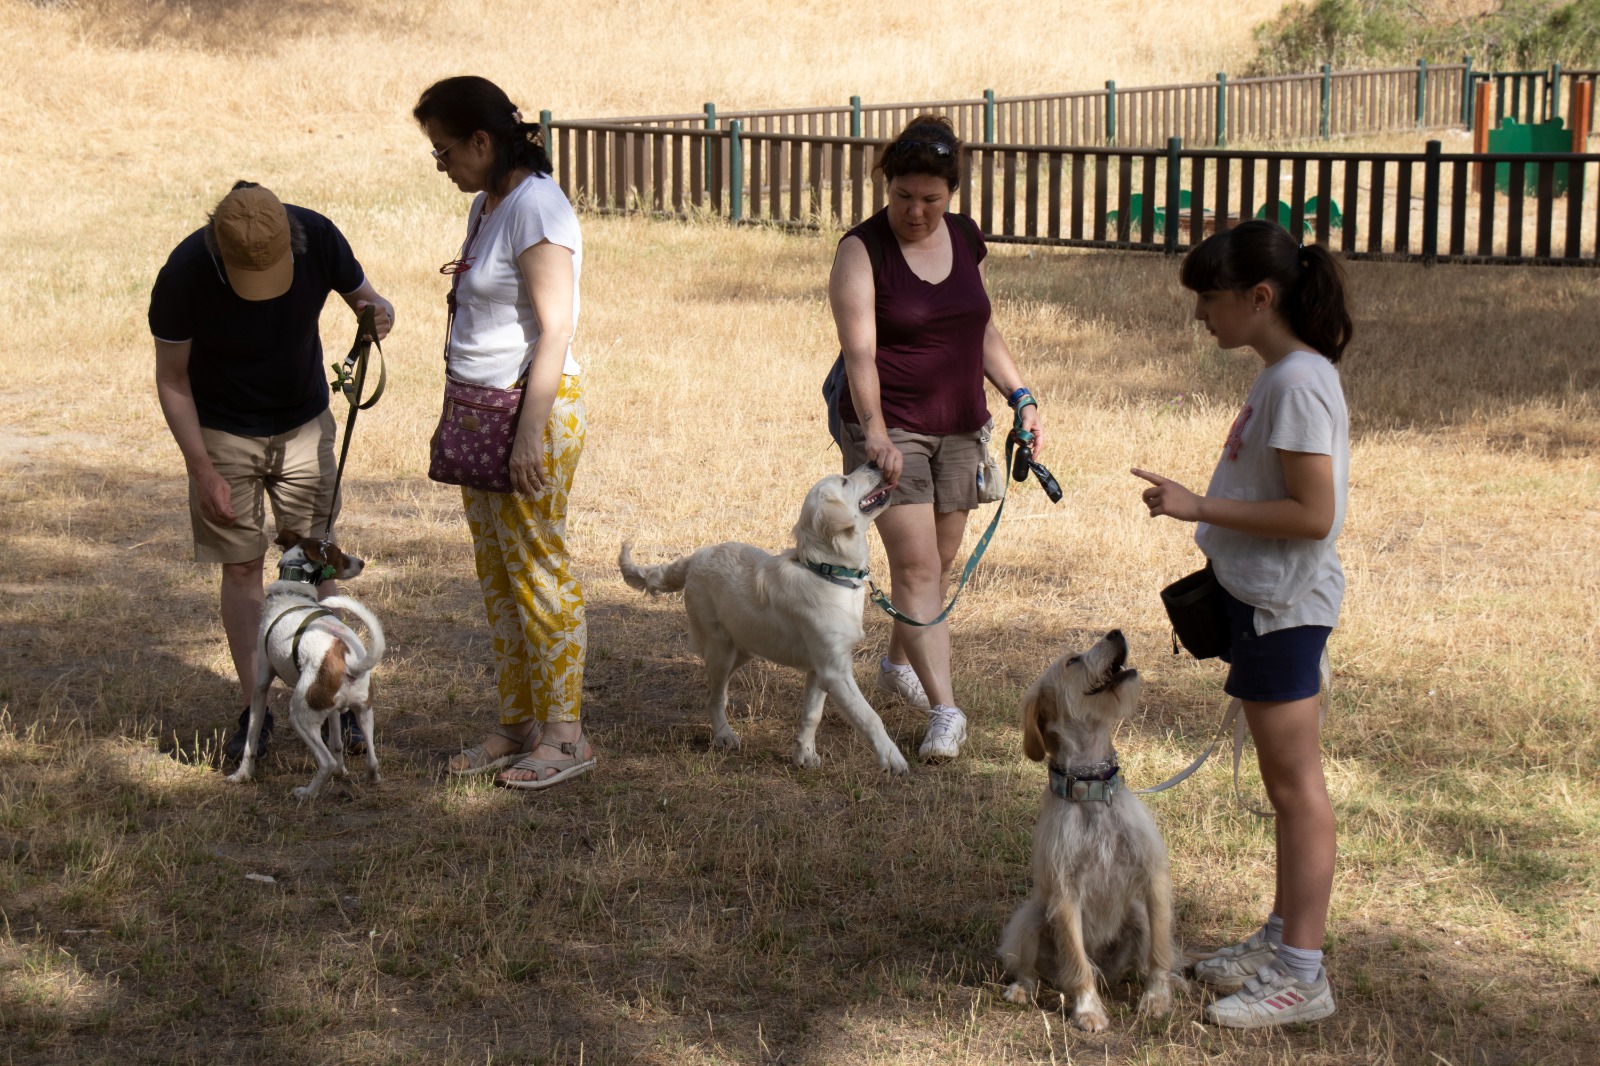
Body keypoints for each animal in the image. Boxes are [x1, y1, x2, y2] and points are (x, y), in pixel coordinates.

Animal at [225, 531, 384, 797]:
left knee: (325, 761)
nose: (361, 563)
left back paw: (307, 793)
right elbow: (337, 743)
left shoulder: (261, 685)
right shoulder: (333, 712)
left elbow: (251, 741)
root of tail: (350, 663)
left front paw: (242, 775)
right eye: (338, 554)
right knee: (371, 760)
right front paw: (342, 771)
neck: (293, 592)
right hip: (364, 712)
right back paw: (367, 778)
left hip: (300, 714)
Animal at [992, 630, 1184, 1030]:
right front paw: (1088, 1009)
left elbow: (1160, 952)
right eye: (1071, 661)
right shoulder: (1065, 894)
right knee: (1034, 971)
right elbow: (1078, 964)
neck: (1092, 789)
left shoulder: (1154, 878)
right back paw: (1022, 990)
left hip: (1136, 916)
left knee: (1143, 960)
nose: (1116, 632)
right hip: (1032, 917)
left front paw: (1157, 998)